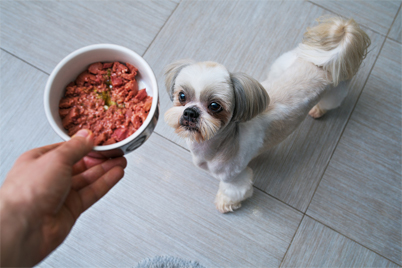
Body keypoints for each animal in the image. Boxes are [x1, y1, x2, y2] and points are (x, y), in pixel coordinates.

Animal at [163, 17, 370, 214]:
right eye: (182, 96)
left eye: (214, 106)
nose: (190, 111)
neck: (220, 143)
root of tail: (329, 58)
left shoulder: (235, 178)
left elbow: (232, 192)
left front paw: (224, 204)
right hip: (284, 63)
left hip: (335, 92)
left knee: (330, 103)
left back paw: (318, 110)